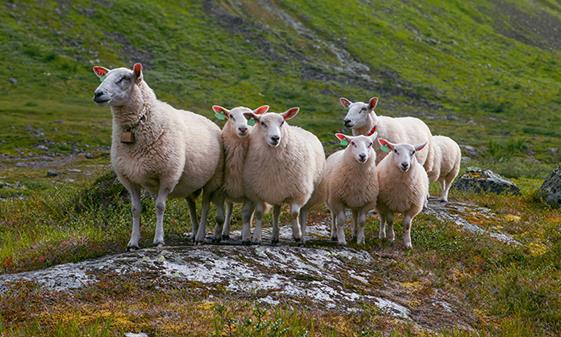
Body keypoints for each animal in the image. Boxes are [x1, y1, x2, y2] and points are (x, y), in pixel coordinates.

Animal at [91, 63, 223, 248]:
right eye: (104, 77)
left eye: (124, 78)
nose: (98, 94)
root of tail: (212, 123)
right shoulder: (129, 179)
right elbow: (135, 209)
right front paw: (133, 242)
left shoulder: (168, 174)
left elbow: (160, 207)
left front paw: (159, 239)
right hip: (190, 182)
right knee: (191, 204)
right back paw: (194, 232)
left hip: (213, 179)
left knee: (205, 206)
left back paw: (200, 236)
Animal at [212, 103, 270, 240]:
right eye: (230, 116)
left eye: (251, 117)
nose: (243, 129)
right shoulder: (220, 190)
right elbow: (220, 216)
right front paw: (217, 236)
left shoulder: (250, 194)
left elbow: (246, 216)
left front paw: (246, 237)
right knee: (229, 208)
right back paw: (225, 232)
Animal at [241, 107, 324, 242]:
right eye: (262, 123)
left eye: (282, 122)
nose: (275, 138)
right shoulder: (257, 192)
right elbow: (259, 213)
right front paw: (257, 236)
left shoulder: (299, 192)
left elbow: (294, 213)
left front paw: (297, 234)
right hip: (276, 191)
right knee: (276, 212)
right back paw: (275, 235)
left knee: (299, 212)